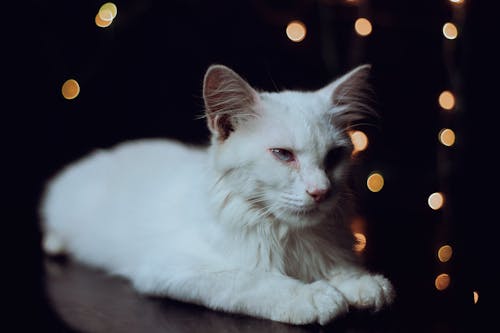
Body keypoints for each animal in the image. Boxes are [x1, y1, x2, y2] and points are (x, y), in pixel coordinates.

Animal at [40, 64, 394, 324]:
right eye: (283, 155)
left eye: (334, 156)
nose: (320, 191)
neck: (288, 235)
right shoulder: (173, 266)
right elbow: (250, 279)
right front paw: (312, 297)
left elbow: (339, 267)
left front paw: (360, 283)